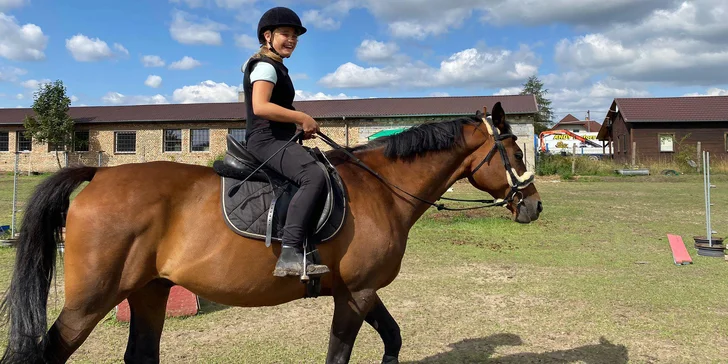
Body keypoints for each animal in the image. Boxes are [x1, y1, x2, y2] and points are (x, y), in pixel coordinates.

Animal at [1, 102, 540, 364]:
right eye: (516, 154)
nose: (533, 206)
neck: (381, 189)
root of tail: (99, 175)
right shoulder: (357, 293)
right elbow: (340, 354)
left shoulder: (358, 290)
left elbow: (393, 338)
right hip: (92, 299)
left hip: (149, 289)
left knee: (141, 354)